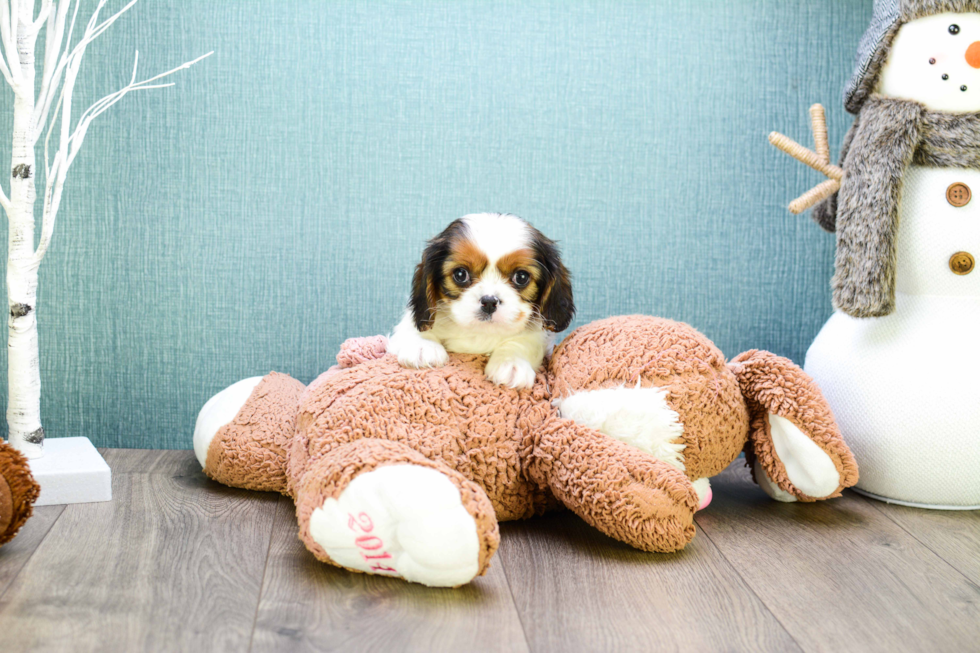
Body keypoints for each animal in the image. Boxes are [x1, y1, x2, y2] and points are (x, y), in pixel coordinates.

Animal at [386, 213, 576, 388]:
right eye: (460, 274)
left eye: (521, 277)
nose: (489, 302)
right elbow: (413, 328)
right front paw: (423, 347)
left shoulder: (539, 338)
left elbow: (523, 343)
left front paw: (511, 363)